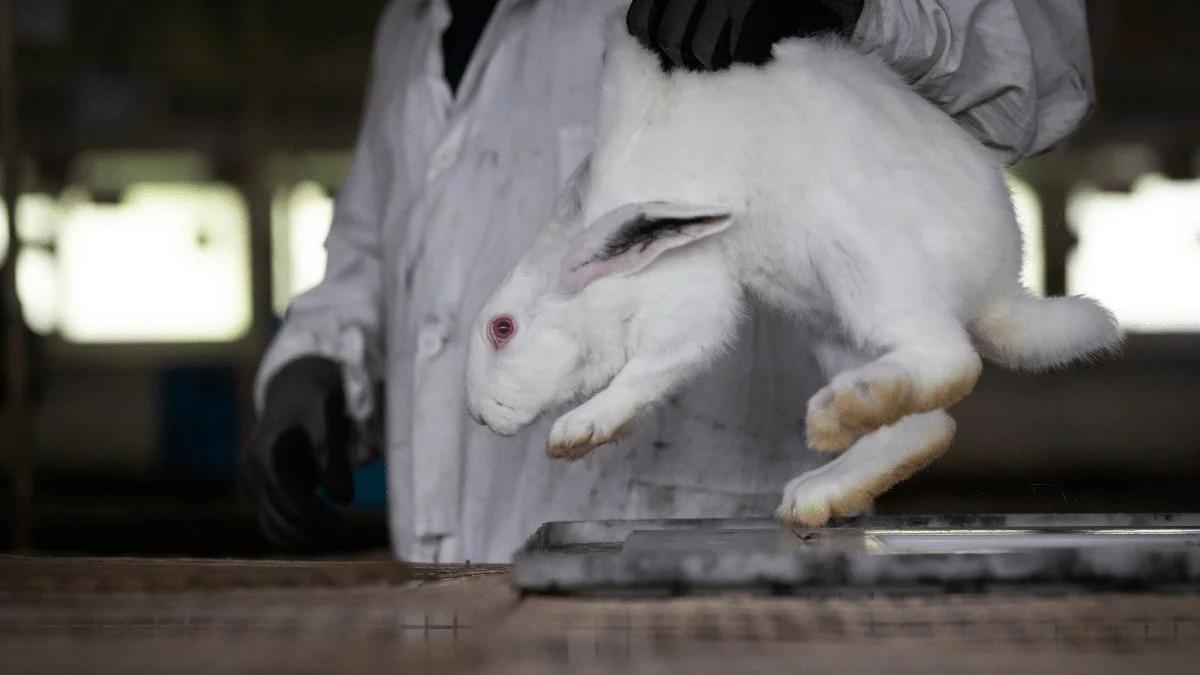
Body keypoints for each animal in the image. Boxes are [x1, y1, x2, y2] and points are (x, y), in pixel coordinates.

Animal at [463, 22, 1118, 526]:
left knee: (949, 360)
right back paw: (821, 491)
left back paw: (839, 412)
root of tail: (998, 290)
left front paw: (579, 429)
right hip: (831, 326)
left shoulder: (689, 295)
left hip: (865, 265)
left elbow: (658, 364)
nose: (477, 418)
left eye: (502, 329)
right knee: (925, 426)